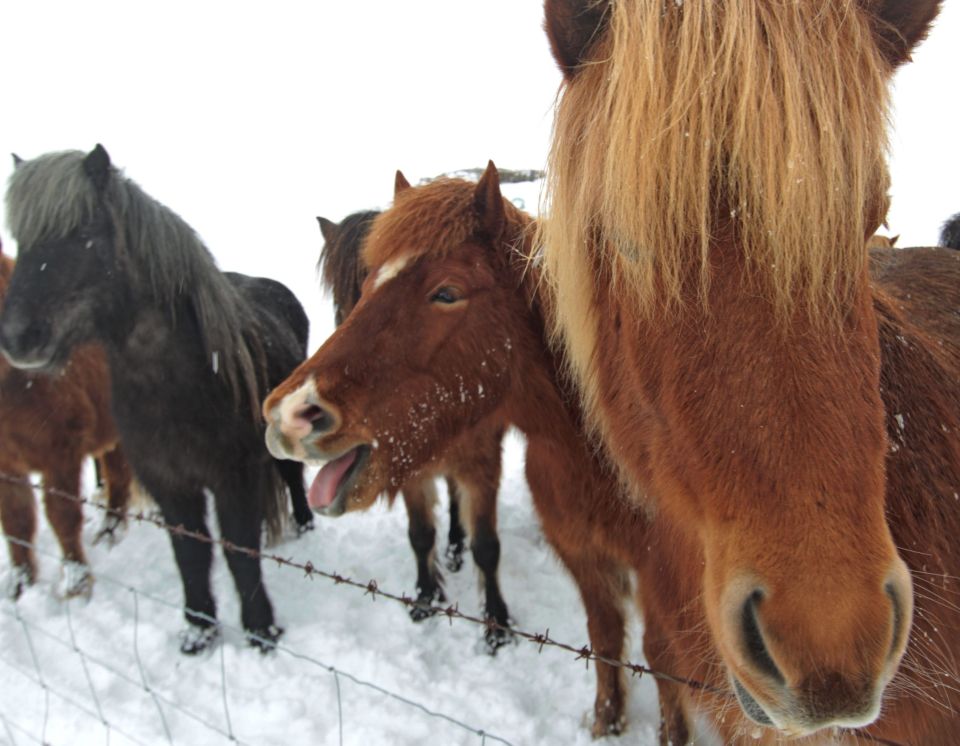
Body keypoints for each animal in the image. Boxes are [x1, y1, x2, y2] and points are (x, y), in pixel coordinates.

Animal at [0, 241, 133, 600]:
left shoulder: (60, 453)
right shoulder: (7, 465)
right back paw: (110, 531)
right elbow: (16, 522)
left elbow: (62, 516)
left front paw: (76, 583)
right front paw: (20, 584)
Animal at [317, 207, 511, 648]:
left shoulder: (482, 461)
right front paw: (425, 598)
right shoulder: (403, 466)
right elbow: (420, 535)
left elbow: (487, 545)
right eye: (343, 301)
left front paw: (496, 623)